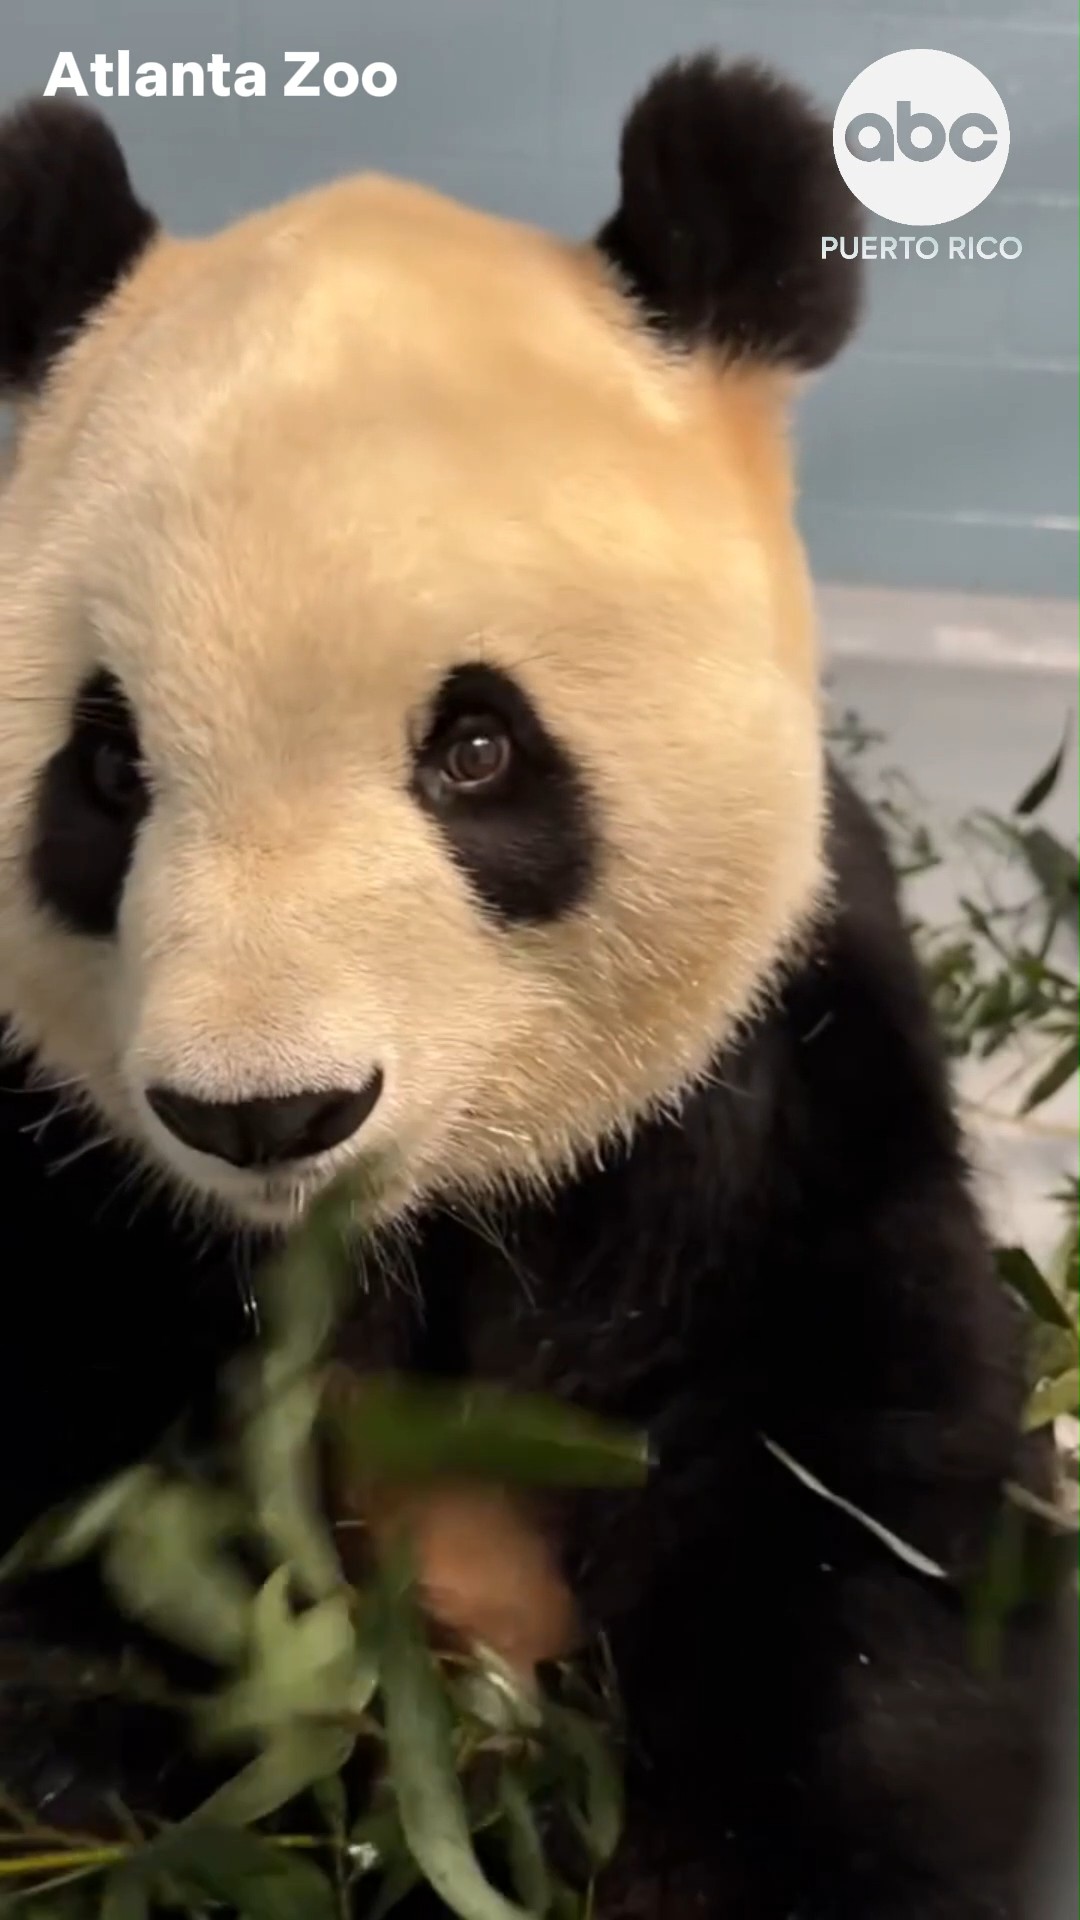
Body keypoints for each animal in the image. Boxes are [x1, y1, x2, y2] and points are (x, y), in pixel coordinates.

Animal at [0, 51, 1059, 1919]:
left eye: (478, 748)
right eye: (107, 770)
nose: (265, 1112)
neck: (402, 1230)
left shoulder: (765, 1086)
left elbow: (859, 1520)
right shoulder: (82, 1178)